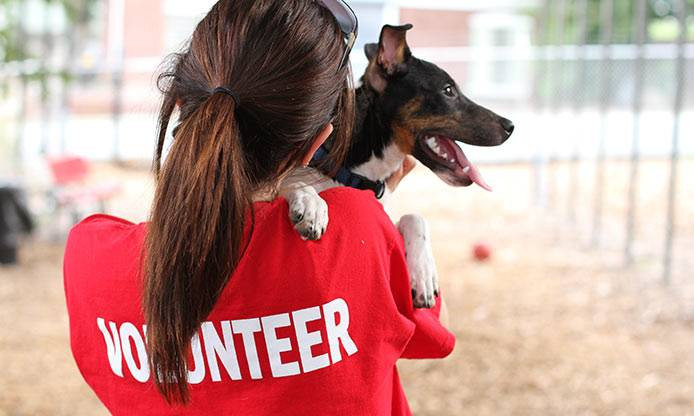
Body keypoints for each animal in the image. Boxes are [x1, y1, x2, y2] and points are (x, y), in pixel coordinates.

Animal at [280, 23, 512, 308]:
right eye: (448, 90)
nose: (510, 126)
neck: (363, 172)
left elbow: (415, 217)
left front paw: (423, 274)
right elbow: (296, 180)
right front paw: (311, 205)